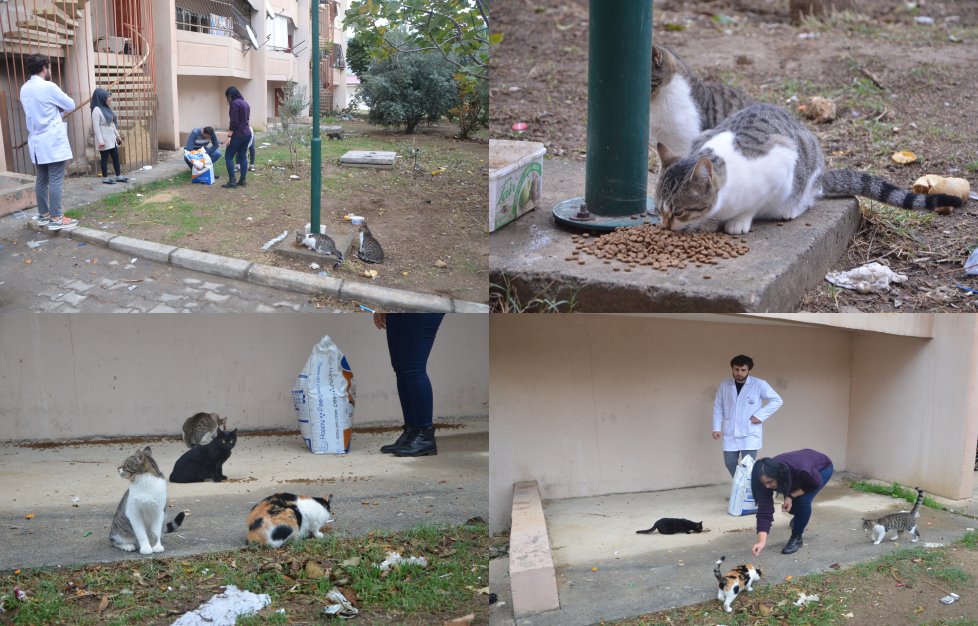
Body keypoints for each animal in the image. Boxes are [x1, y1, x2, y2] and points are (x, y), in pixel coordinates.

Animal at [652, 103, 956, 234]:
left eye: (678, 211)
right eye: (659, 209)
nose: (665, 225)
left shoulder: (781, 164)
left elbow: (752, 206)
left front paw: (738, 222)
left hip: (806, 157)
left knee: (809, 198)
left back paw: (791, 208)